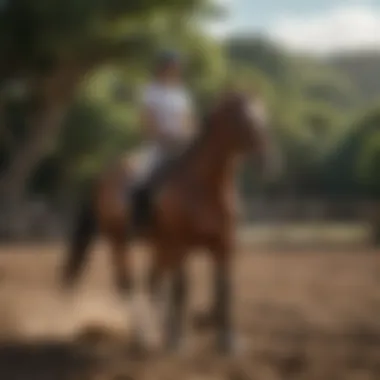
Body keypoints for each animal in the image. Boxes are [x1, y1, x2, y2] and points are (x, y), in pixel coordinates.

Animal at [60, 90, 280, 354]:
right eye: (242, 120)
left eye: (264, 118)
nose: (269, 162)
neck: (204, 186)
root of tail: (104, 177)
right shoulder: (180, 244)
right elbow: (181, 288)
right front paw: (179, 339)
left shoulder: (224, 245)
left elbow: (223, 289)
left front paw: (227, 340)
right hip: (120, 242)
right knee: (127, 285)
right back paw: (143, 336)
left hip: (158, 246)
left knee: (152, 283)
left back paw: (160, 331)